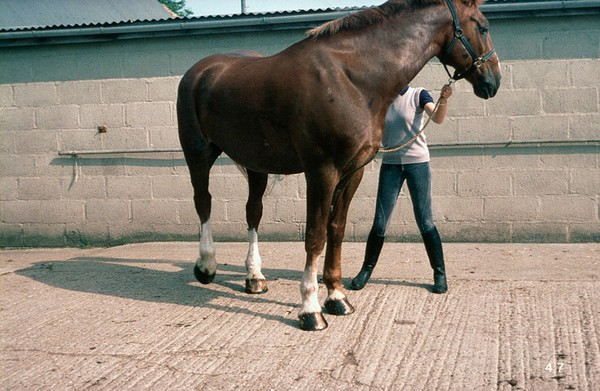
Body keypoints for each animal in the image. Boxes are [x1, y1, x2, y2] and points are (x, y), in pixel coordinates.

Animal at [178, 0, 502, 330]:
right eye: (483, 27)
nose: (493, 81)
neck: (351, 79)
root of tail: (201, 71)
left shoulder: (353, 171)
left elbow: (336, 229)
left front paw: (336, 297)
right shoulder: (322, 171)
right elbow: (315, 235)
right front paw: (310, 309)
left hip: (256, 163)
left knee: (253, 212)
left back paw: (254, 277)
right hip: (198, 154)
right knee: (203, 202)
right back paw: (206, 266)